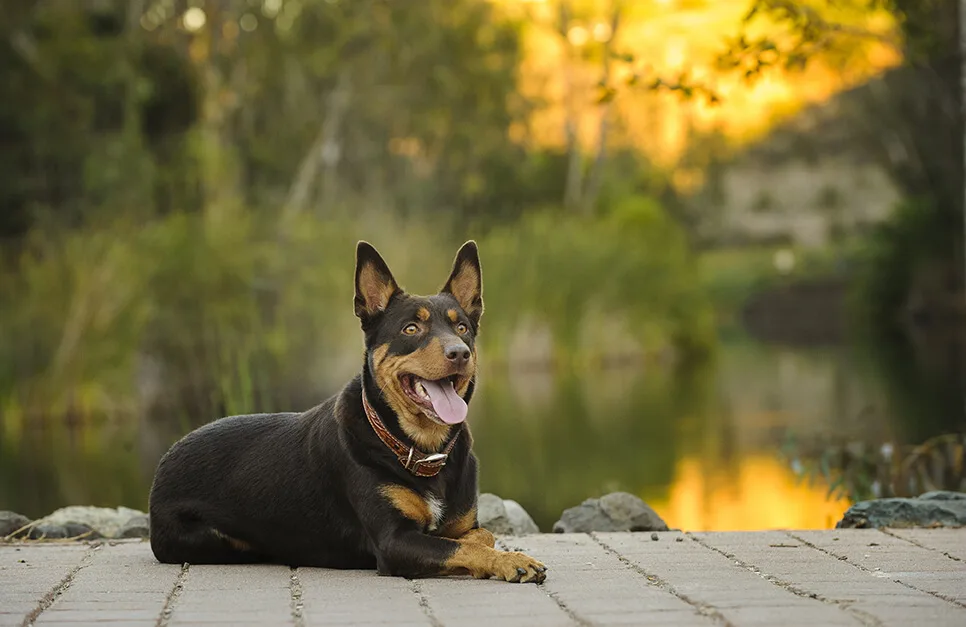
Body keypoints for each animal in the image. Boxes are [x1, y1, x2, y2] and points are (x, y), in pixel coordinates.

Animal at [148, 239, 548, 584]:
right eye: (411, 328)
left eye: (462, 326)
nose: (459, 353)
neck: (421, 451)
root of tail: (164, 461)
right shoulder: (394, 541)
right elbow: (461, 547)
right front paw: (512, 561)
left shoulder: (463, 525)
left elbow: (479, 536)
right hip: (215, 539)